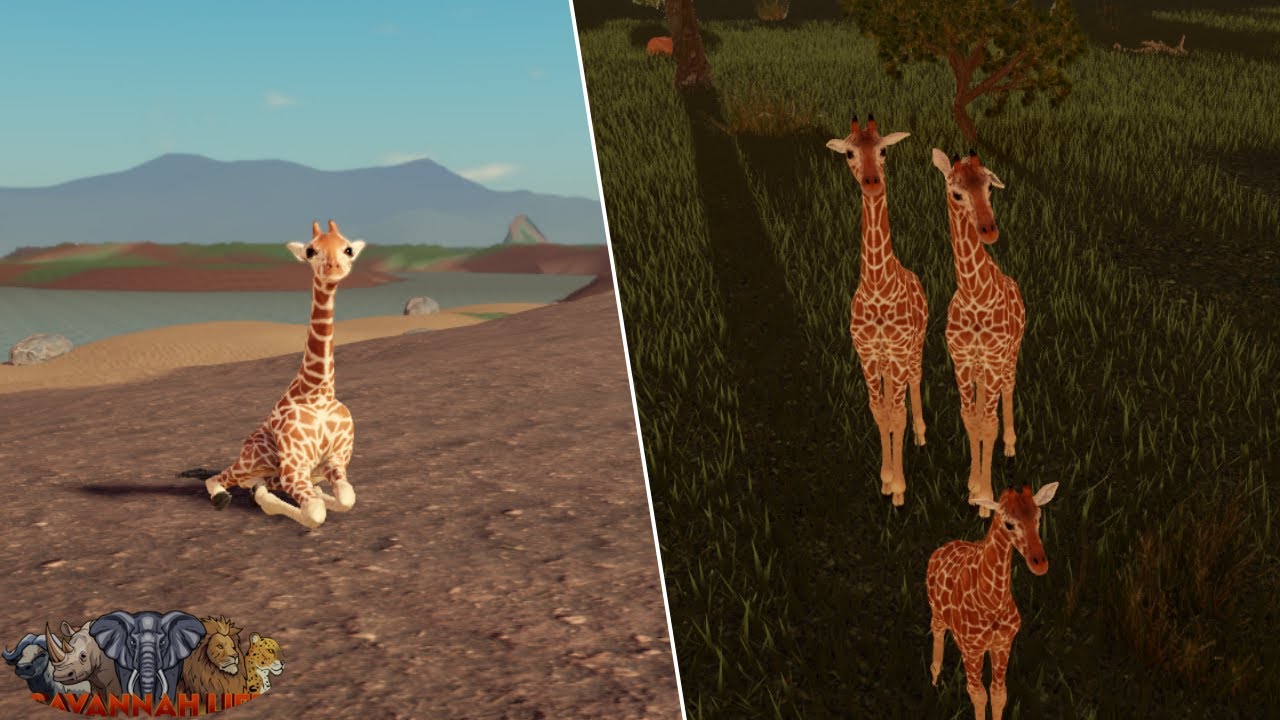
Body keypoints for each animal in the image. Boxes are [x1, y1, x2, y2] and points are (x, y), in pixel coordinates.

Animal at [204, 220, 365, 530]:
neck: (318, 392)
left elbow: (345, 498)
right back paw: (221, 496)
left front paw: (326, 496)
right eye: (311, 250)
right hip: (253, 461)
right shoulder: (294, 468)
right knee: (220, 479)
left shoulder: (336, 460)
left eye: (348, 249)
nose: (333, 268)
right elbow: (315, 513)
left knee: (263, 488)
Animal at [826, 114, 927, 506]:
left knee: (915, 381)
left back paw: (921, 435)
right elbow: (879, 412)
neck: (878, 290)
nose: (871, 182)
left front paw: (899, 489)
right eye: (849, 153)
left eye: (883, 150)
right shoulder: (867, 354)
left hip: (916, 347)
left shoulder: (898, 352)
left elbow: (896, 415)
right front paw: (885, 480)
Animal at [927, 482, 1059, 720]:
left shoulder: (1003, 644)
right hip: (936, 613)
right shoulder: (972, 650)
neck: (992, 603)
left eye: (1038, 517)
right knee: (937, 638)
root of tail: (941, 548)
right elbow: (977, 693)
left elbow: (998, 694)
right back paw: (934, 685)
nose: (1040, 564)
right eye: (1009, 524)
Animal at [931, 148, 1026, 517]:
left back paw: (1011, 447)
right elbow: (972, 419)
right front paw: (973, 489)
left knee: (1008, 392)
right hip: (981, 369)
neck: (974, 296)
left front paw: (986, 498)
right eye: (956, 192)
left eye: (989, 186)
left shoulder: (996, 357)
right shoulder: (960, 362)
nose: (989, 231)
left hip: (1010, 355)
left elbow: (989, 422)